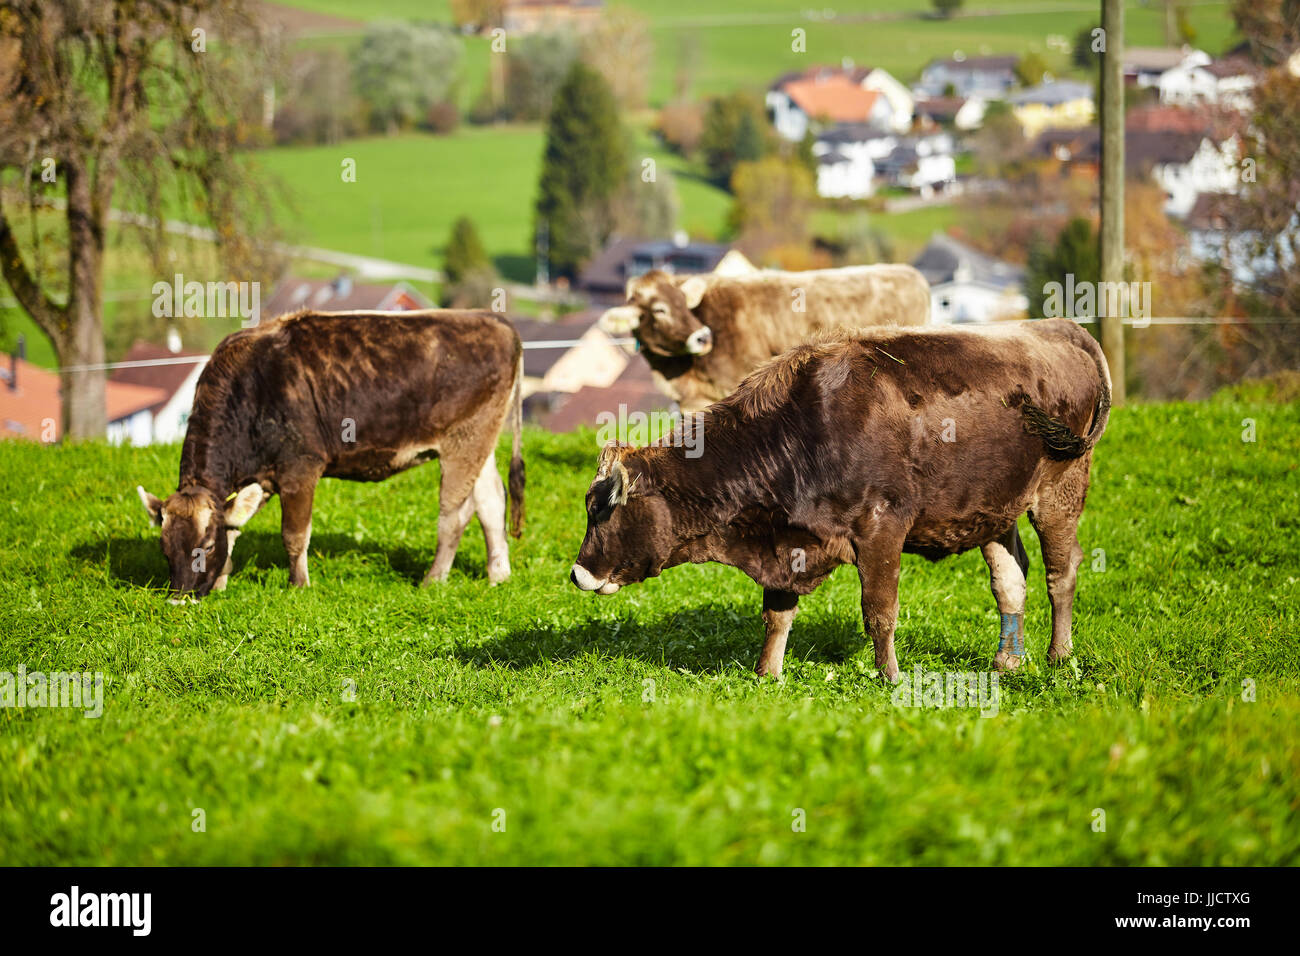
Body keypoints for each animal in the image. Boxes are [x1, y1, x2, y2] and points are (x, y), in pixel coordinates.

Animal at [136, 309, 525, 601]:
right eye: (164, 549)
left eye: (203, 546)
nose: (180, 598)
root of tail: (492, 319)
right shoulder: (260, 478)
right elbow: (233, 528)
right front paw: (221, 580)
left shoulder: (300, 468)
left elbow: (294, 535)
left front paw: (298, 586)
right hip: (481, 440)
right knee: (491, 501)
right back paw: (498, 576)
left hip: (464, 440)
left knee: (455, 515)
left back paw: (433, 580)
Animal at [569, 319, 1111, 681]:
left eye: (604, 510)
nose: (576, 574)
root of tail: (1060, 327)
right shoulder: (787, 540)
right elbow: (776, 614)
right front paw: (767, 673)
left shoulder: (881, 529)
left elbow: (880, 610)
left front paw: (889, 676)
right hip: (994, 509)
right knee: (1010, 580)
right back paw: (1006, 660)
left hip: (1059, 491)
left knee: (1061, 573)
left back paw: (1059, 655)